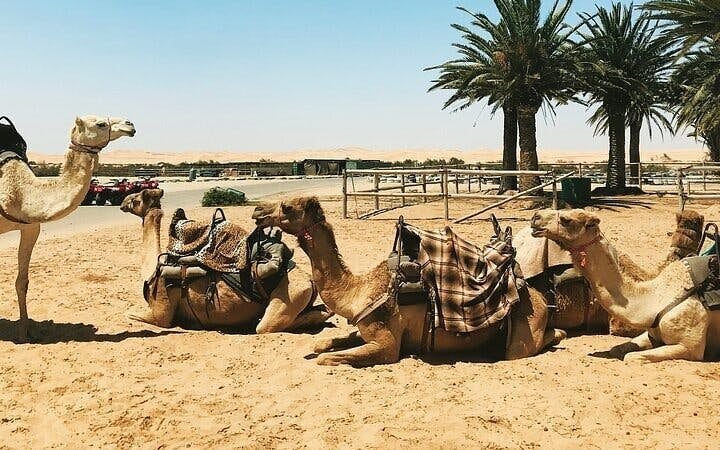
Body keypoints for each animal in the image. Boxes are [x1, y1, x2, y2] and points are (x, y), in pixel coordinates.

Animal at [0, 115, 135, 342]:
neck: (20, 192)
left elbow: (22, 281)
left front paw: (25, 333)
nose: (130, 125)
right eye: (100, 124)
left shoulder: (31, 227)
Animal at [120, 189, 332, 333]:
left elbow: (131, 313)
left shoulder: (161, 312)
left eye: (136, 199)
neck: (153, 269)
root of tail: (310, 280)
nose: (122, 202)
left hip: (290, 294)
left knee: (268, 325)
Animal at [252, 196, 566, 366]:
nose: (257, 212)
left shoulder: (387, 344)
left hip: (524, 330)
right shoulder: (367, 328)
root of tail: (539, 297)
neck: (358, 292)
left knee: (526, 347)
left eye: (286, 207)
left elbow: (326, 358)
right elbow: (322, 346)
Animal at [531, 209, 720, 362]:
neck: (656, 298)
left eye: (566, 219)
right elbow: (618, 349)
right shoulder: (650, 333)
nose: (535, 217)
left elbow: (631, 357)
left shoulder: (690, 347)